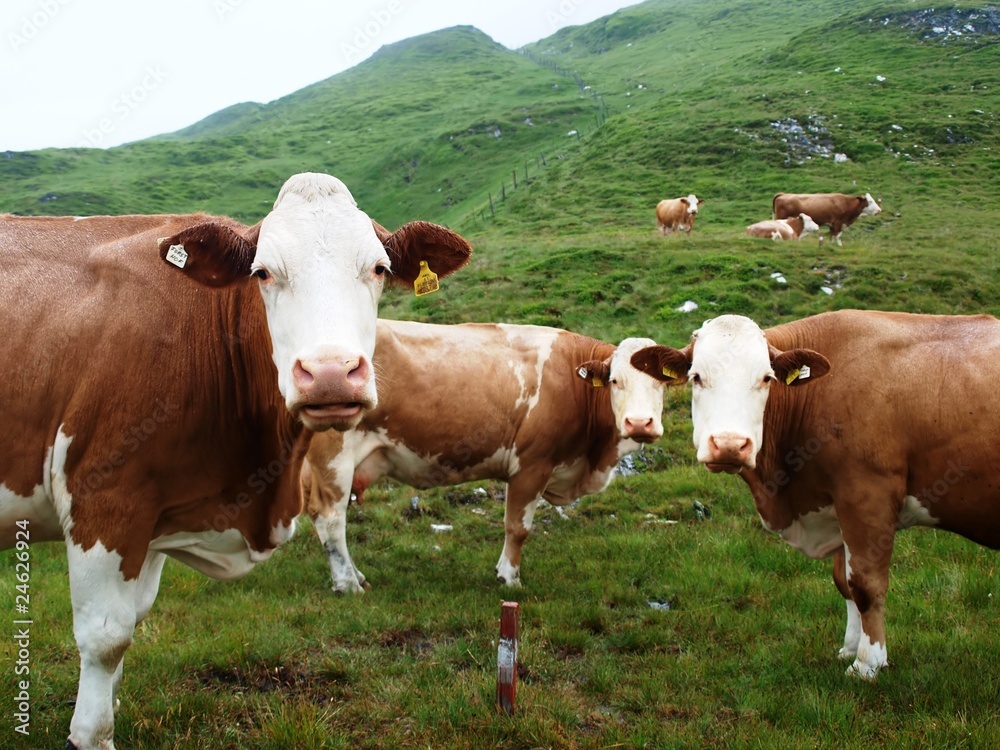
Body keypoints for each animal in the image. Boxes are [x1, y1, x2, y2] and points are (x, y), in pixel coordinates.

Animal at [0, 172, 470, 750]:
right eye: (263, 272)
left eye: (379, 268)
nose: (331, 373)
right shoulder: (103, 499)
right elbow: (106, 637)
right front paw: (90, 732)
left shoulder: (155, 511)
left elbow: (131, 622)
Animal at [300, 320, 668, 592]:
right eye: (615, 381)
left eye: (661, 384)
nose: (640, 423)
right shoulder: (533, 463)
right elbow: (517, 527)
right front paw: (509, 578)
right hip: (334, 455)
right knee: (330, 518)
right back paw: (348, 584)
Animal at [632, 312, 1000, 680]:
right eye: (696, 377)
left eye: (766, 378)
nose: (729, 445)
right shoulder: (837, 505)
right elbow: (844, 581)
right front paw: (849, 648)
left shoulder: (867, 496)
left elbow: (866, 584)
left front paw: (867, 663)